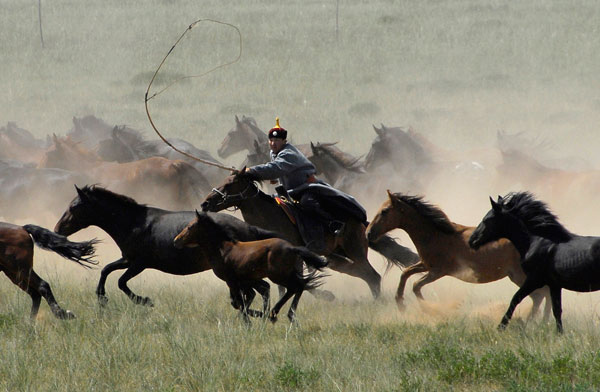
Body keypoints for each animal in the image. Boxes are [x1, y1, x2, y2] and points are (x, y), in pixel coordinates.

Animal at [54, 185, 278, 308]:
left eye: (74, 206)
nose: (57, 229)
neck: (133, 222)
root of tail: (250, 228)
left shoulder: (139, 264)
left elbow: (121, 282)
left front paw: (144, 301)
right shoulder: (128, 259)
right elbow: (106, 270)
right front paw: (101, 297)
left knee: (260, 290)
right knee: (258, 291)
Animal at [172, 213, 328, 324]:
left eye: (190, 227)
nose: (176, 241)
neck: (223, 250)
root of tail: (292, 248)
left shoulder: (232, 281)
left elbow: (239, 303)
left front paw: (250, 321)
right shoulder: (245, 280)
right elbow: (241, 302)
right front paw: (256, 316)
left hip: (279, 275)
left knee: (297, 286)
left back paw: (279, 315)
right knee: (299, 286)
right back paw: (277, 315)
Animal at [199, 168, 420, 298]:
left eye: (229, 184)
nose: (205, 203)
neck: (269, 216)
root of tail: (360, 221)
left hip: (355, 251)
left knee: (372, 276)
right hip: (336, 256)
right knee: (363, 274)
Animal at [364, 191, 552, 318]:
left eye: (385, 211)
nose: (368, 233)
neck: (437, 235)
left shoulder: (438, 271)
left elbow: (416, 285)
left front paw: (429, 309)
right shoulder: (426, 265)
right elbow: (405, 273)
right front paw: (400, 303)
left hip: (520, 276)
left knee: (539, 295)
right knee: (545, 294)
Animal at [468, 191, 600, 332]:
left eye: (487, 220)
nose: (471, 241)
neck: (535, 241)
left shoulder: (534, 280)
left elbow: (515, 299)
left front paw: (500, 327)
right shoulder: (554, 284)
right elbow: (557, 310)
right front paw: (559, 334)